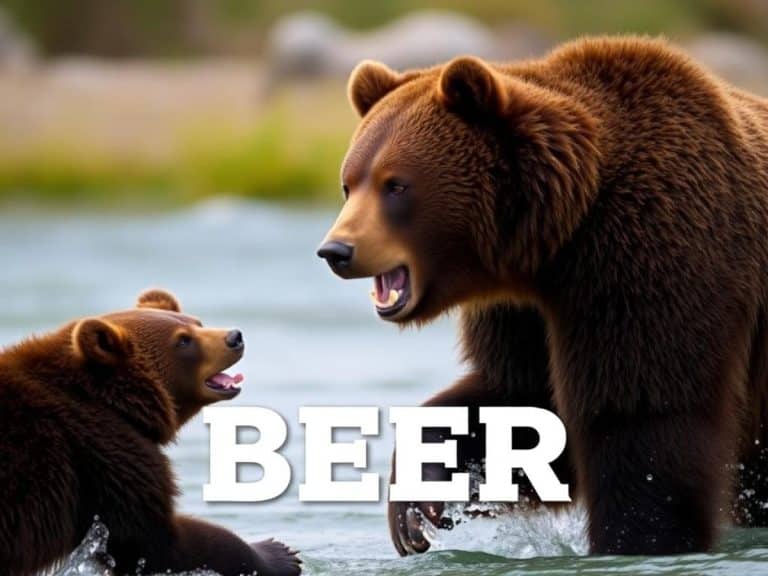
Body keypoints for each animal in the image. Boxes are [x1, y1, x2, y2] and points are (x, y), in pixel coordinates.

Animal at [0, 289, 301, 576]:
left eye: (197, 323)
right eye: (182, 340)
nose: (234, 337)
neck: (116, 403)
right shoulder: (102, 454)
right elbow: (153, 541)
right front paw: (278, 553)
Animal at [316, 36, 768, 556]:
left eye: (396, 185)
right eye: (349, 183)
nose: (336, 249)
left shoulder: (654, 259)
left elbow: (642, 418)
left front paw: (638, 537)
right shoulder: (523, 309)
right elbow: (524, 406)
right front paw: (416, 505)